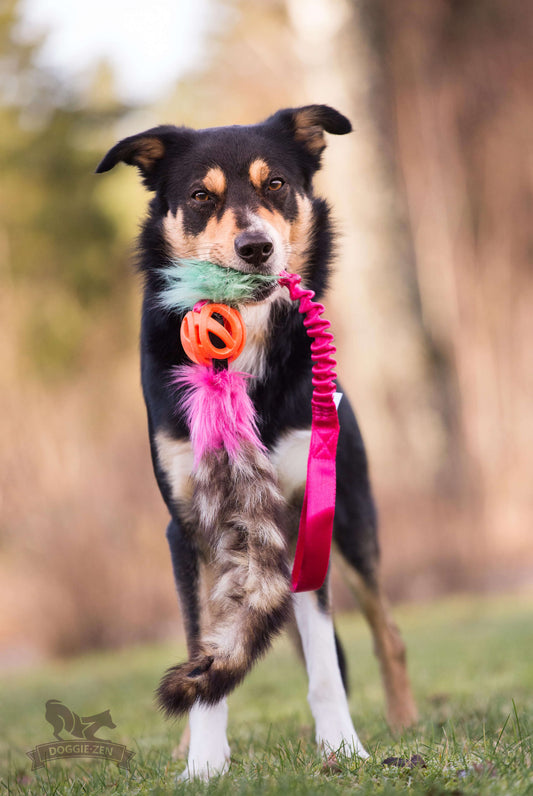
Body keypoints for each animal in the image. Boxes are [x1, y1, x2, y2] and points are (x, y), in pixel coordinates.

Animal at [97, 105, 418, 776]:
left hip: (353, 518)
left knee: (388, 633)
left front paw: (344, 748)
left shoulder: (304, 517)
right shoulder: (189, 528)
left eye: (275, 185)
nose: (257, 247)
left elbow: (324, 666)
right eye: (200, 195)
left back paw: (404, 722)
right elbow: (206, 655)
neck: (243, 340)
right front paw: (202, 765)